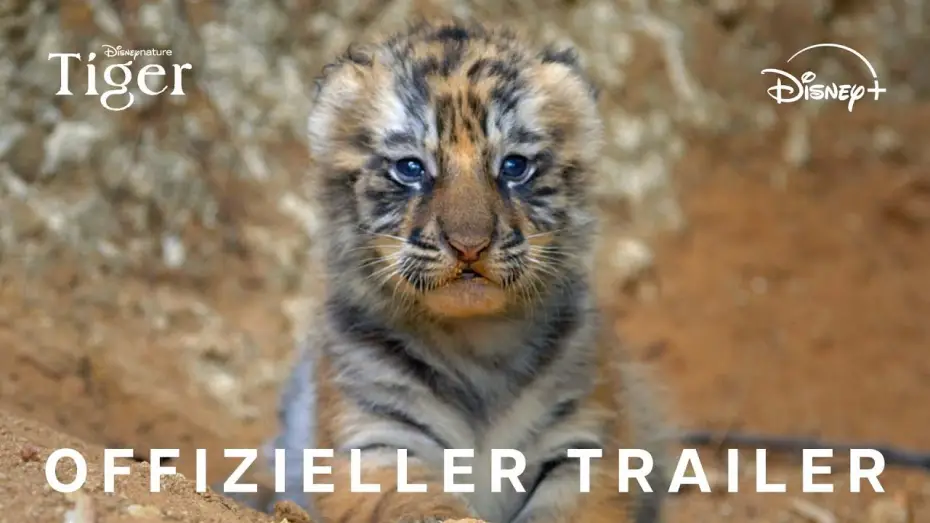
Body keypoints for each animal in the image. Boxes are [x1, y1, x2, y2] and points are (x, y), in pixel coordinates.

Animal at [221, 18, 672, 523]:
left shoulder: (587, 442)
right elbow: (426, 506)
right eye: (411, 168)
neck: (477, 345)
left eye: (514, 166)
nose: (469, 245)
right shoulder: (374, 441)